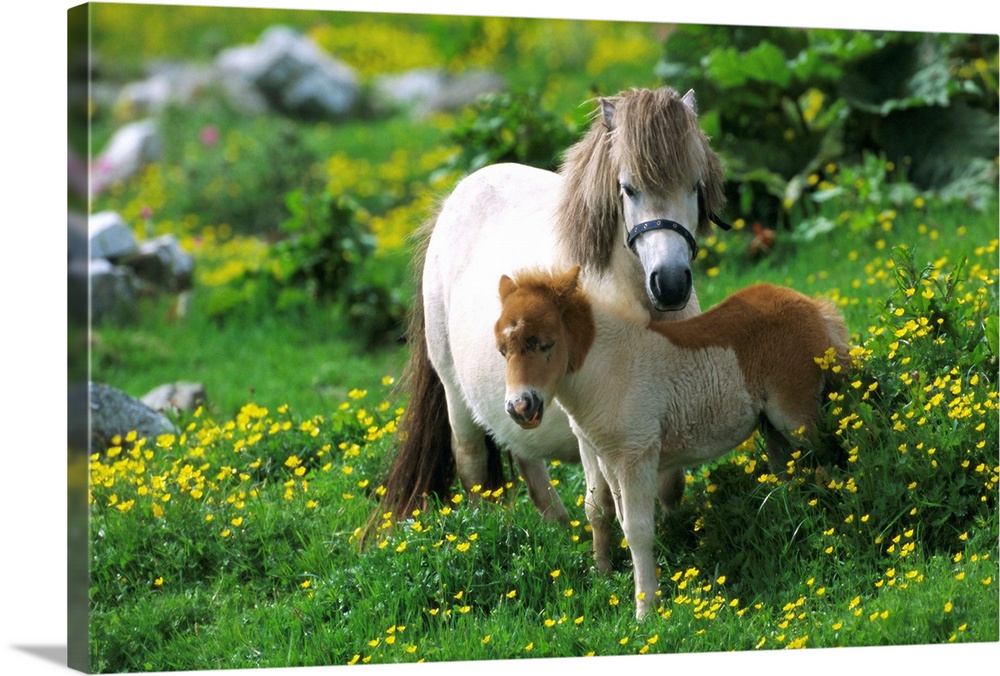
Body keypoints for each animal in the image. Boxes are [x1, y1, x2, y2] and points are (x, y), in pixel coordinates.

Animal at [374, 87, 728, 524]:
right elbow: (606, 500)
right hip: (455, 394)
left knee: (526, 457)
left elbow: (670, 484)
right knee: (472, 464)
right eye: (628, 188)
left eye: (695, 186)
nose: (671, 282)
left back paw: (559, 526)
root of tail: (452, 201)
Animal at [492, 266, 852, 620]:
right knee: (787, 473)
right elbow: (615, 518)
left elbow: (638, 530)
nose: (519, 407)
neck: (608, 369)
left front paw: (645, 609)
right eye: (502, 350)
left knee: (827, 461)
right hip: (772, 426)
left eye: (544, 343)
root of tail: (813, 306)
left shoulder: (637, 455)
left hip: (796, 417)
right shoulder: (609, 460)